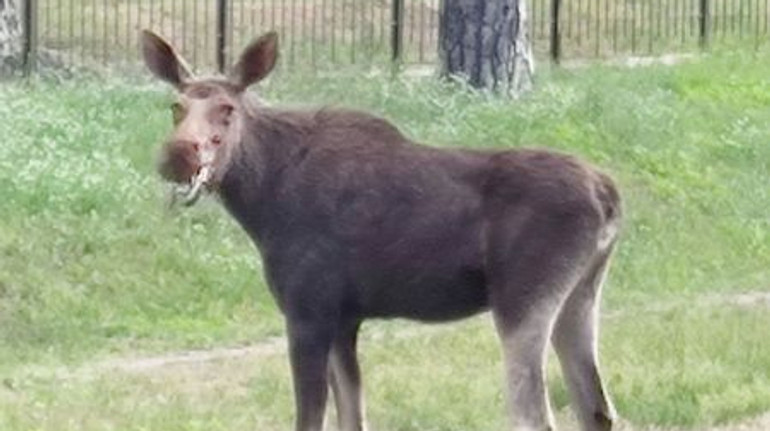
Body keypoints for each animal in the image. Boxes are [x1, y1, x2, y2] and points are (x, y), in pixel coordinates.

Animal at [140, 29, 616, 431]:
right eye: (176, 107)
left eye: (227, 110)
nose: (178, 153)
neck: (261, 204)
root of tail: (608, 196)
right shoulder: (344, 317)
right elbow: (353, 416)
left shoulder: (308, 310)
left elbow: (311, 419)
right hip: (580, 296)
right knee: (598, 409)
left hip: (522, 300)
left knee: (533, 413)